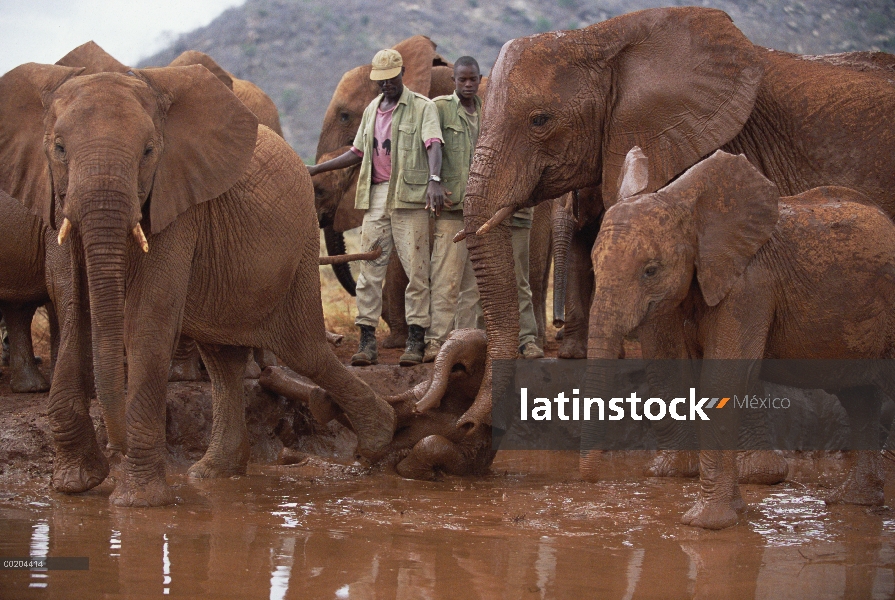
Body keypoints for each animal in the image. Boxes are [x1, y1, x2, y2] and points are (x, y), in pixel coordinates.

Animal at [0, 63, 396, 506]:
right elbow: (71, 309)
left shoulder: (177, 208)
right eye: (59, 148)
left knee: (304, 350)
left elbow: (148, 318)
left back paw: (378, 440)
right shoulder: (52, 202)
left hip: (299, 249)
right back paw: (213, 474)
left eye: (149, 152)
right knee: (224, 357)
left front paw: (136, 502)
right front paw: (74, 485)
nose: (114, 449)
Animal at [260, 328, 496, 478]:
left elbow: (459, 456)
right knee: (285, 453)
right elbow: (392, 412)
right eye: (449, 336)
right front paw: (323, 399)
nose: (419, 408)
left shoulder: (479, 437)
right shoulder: (416, 392)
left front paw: (415, 469)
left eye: (484, 348)